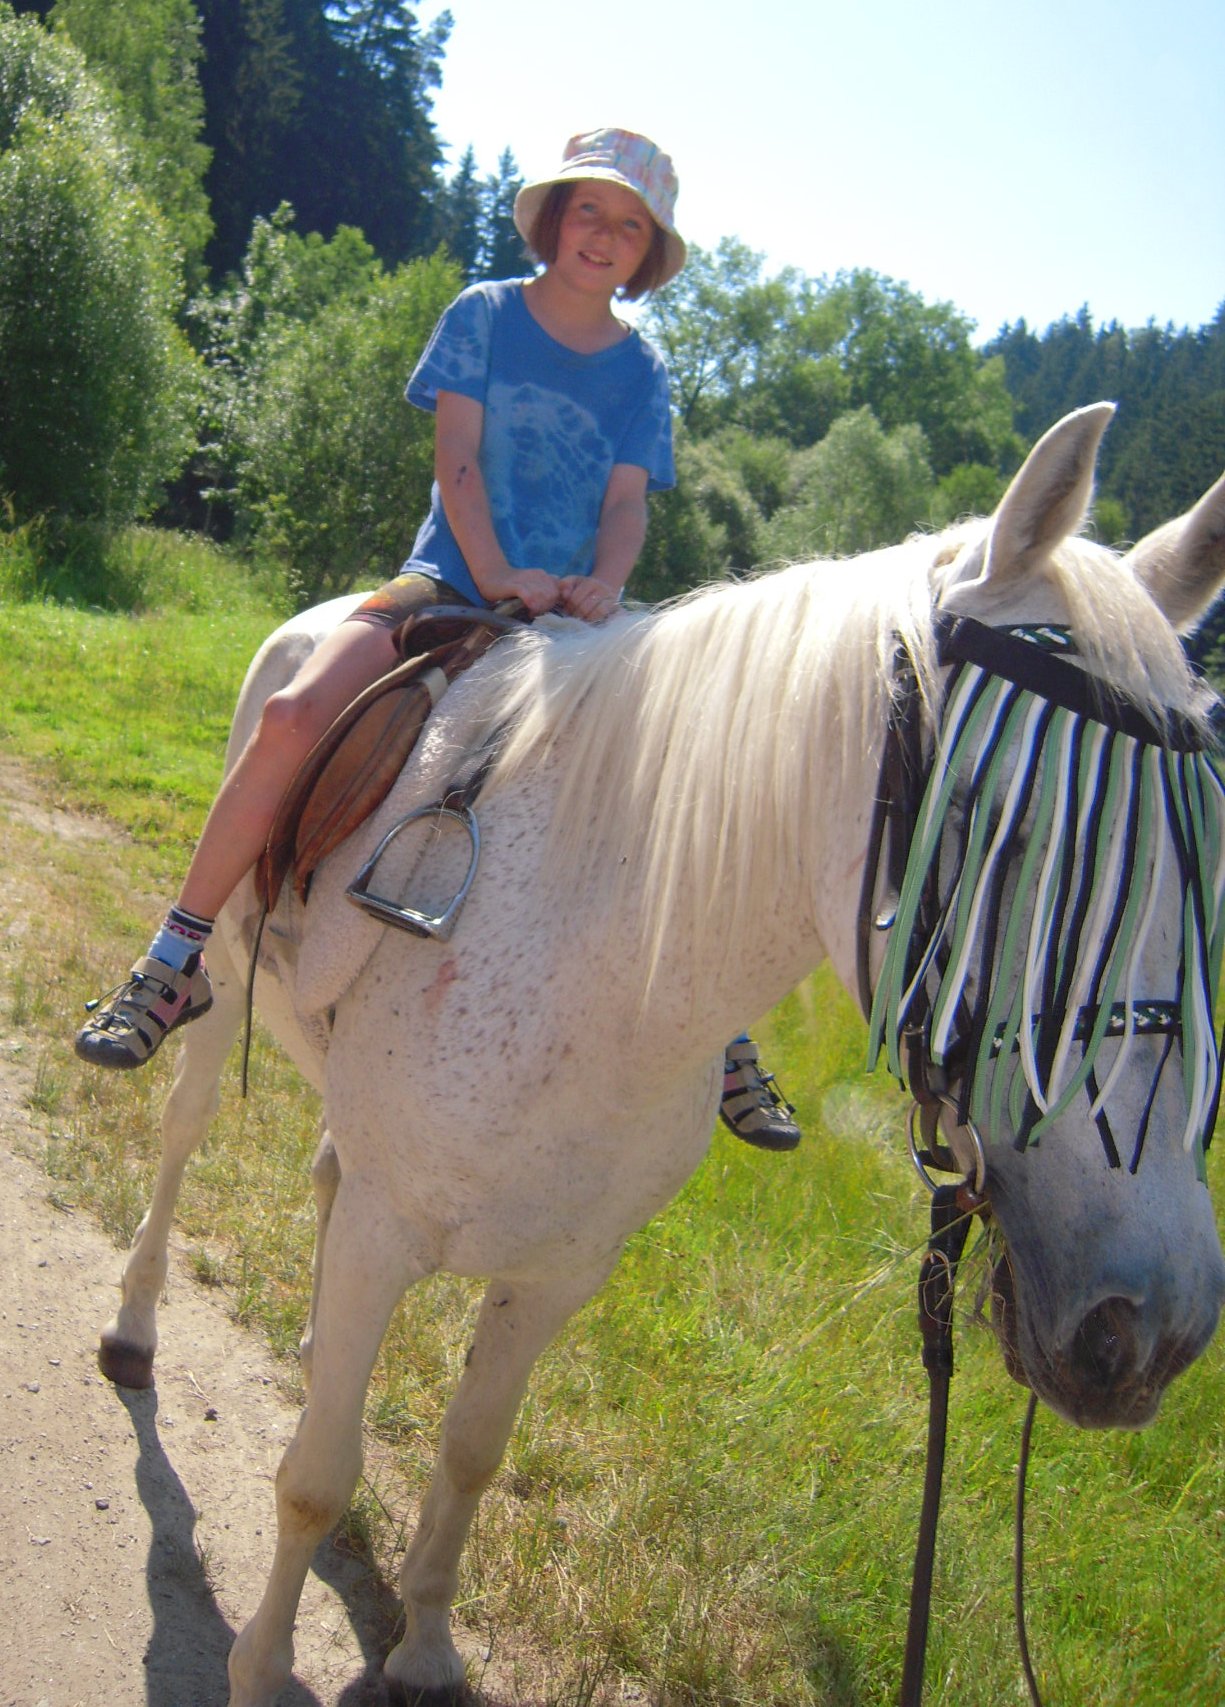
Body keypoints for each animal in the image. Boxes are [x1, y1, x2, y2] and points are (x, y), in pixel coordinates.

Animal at [95, 403, 1225, 1707]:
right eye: (996, 828)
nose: (1148, 1321)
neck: (600, 970)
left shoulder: (563, 1269)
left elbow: (472, 1450)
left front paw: (424, 1644)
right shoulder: (390, 1231)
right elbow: (315, 1479)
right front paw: (265, 1664)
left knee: (327, 1184)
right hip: (226, 982)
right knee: (184, 1133)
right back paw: (135, 1326)